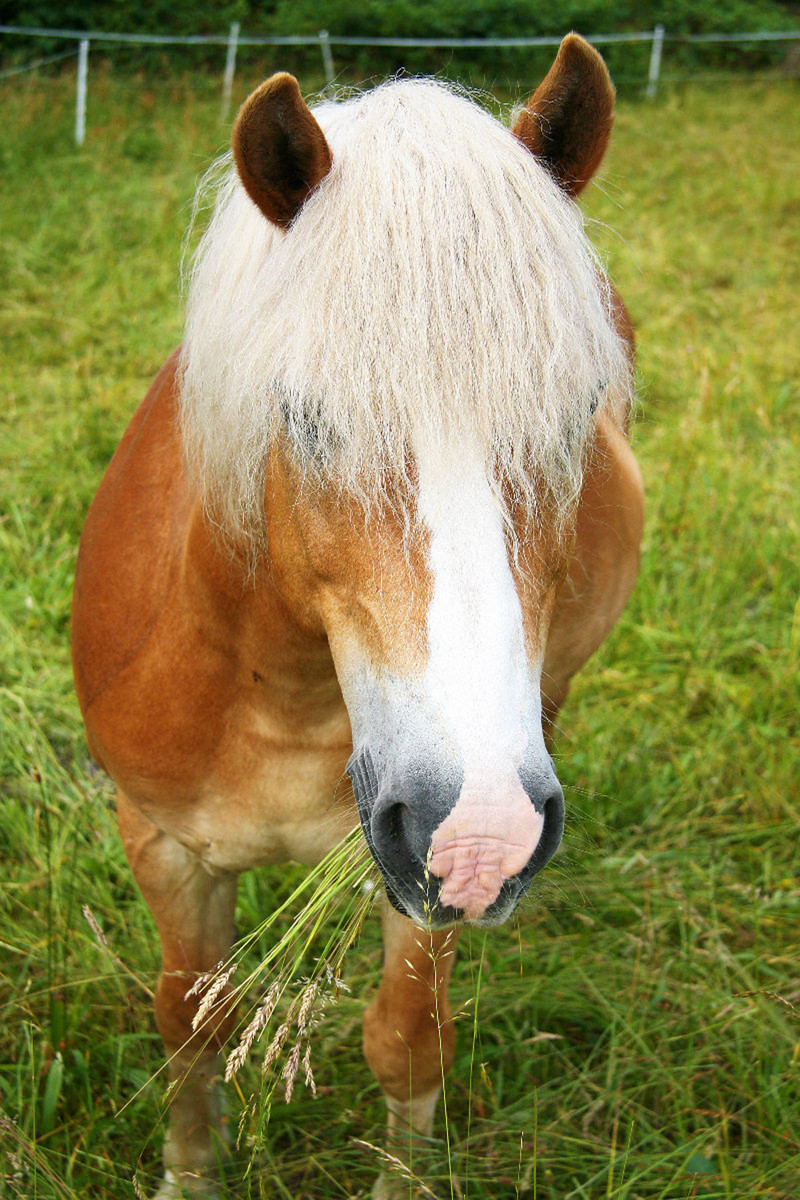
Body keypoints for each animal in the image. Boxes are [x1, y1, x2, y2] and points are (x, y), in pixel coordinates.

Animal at [70, 32, 642, 1195]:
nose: (484, 831)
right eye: (302, 419)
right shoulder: (161, 841)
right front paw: (190, 1170)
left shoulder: (412, 884)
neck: (271, 694)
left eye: (576, 418)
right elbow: (190, 1023)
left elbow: (407, 1038)